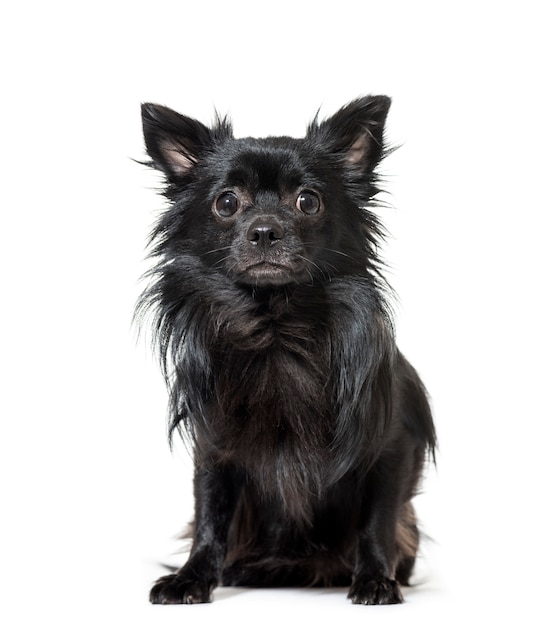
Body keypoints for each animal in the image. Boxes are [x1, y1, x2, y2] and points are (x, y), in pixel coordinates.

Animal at [139, 95, 438, 604]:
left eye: (308, 201)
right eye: (226, 202)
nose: (264, 230)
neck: (275, 326)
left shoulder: (391, 445)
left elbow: (377, 520)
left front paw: (376, 578)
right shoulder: (215, 446)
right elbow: (209, 515)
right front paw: (192, 576)